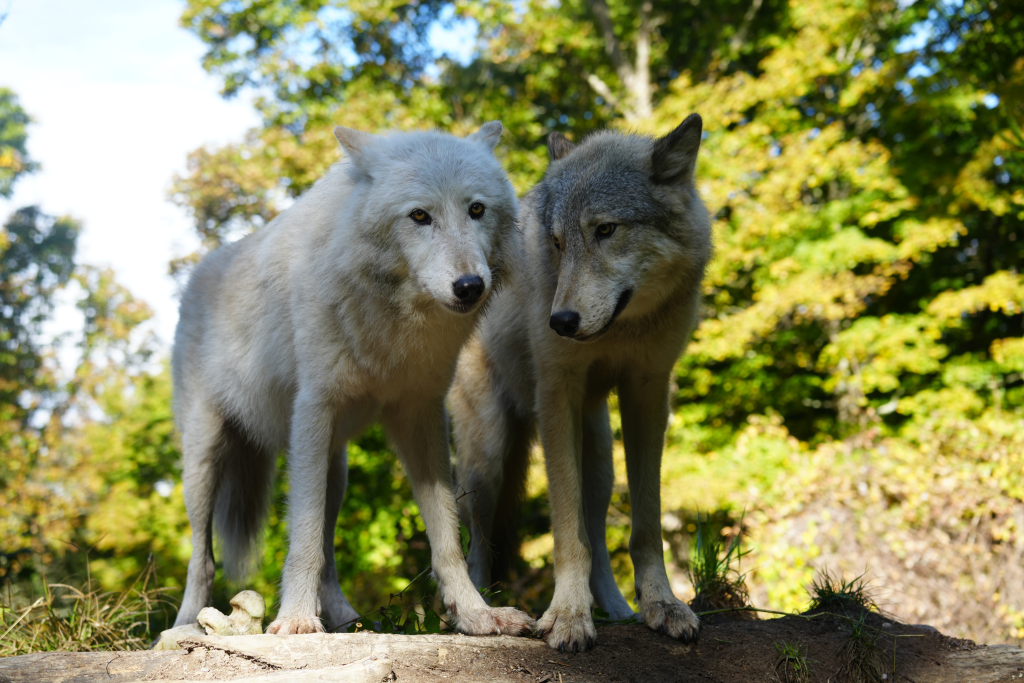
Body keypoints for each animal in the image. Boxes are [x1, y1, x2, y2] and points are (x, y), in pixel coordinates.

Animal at [171, 122, 534, 637]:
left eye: (477, 209)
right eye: (419, 216)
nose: (470, 287)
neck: (393, 318)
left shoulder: (422, 414)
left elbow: (445, 533)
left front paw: (475, 613)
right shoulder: (313, 410)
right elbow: (302, 535)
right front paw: (295, 621)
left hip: (335, 468)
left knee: (328, 552)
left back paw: (346, 620)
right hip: (204, 459)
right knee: (202, 557)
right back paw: (182, 626)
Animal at [451, 114, 711, 652]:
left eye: (605, 230)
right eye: (557, 243)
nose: (561, 322)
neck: (624, 327)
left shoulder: (648, 393)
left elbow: (644, 525)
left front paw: (661, 606)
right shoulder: (557, 394)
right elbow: (568, 533)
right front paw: (568, 616)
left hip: (600, 459)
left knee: (598, 535)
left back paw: (618, 610)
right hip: (487, 463)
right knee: (479, 548)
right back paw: (483, 613)